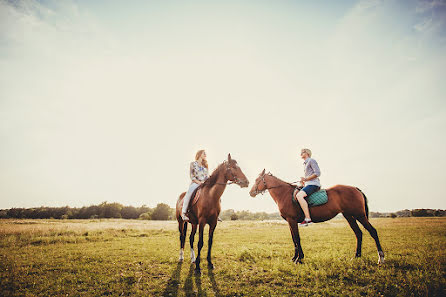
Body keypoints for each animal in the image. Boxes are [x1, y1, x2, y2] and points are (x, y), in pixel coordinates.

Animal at [249, 169, 386, 264]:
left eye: (257, 180)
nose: (251, 192)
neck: (284, 194)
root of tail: (355, 189)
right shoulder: (289, 222)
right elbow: (294, 239)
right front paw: (294, 257)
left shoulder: (292, 220)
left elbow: (297, 239)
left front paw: (299, 259)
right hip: (349, 216)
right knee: (358, 233)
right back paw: (357, 256)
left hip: (359, 215)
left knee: (373, 232)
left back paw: (381, 258)